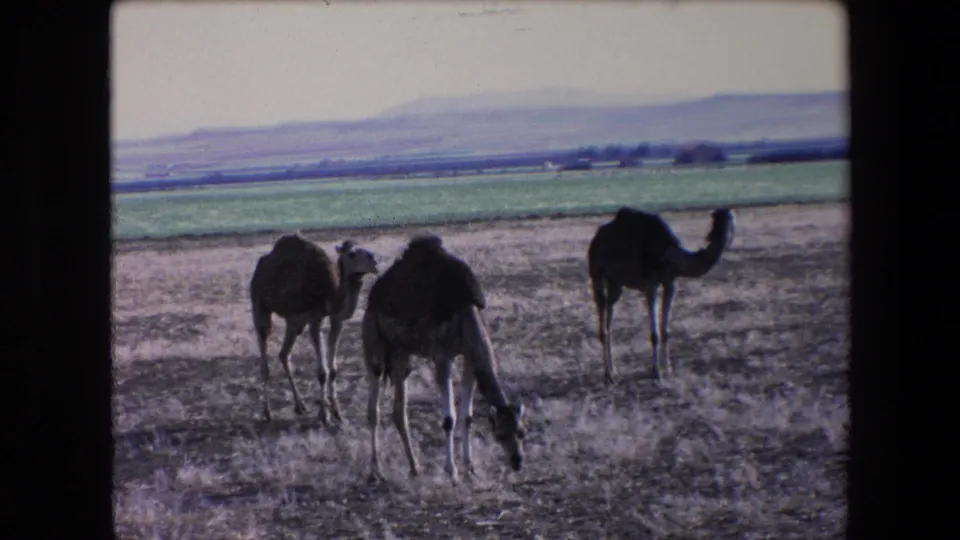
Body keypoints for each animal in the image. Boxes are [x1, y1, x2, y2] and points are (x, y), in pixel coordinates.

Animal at [249, 233, 379, 423]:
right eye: (352, 254)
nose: (374, 261)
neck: (330, 294)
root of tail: (260, 267)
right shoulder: (314, 318)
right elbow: (322, 372)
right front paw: (324, 415)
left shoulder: (336, 320)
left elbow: (333, 370)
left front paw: (337, 412)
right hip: (259, 304)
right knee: (264, 354)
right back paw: (267, 412)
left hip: (294, 320)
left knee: (284, 354)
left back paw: (300, 405)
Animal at [361, 234, 526, 483]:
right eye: (499, 434)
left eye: (522, 431)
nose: (517, 462)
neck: (465, 308)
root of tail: (373, 296)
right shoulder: (442, 356)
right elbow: (449, 418)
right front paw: (452, 472)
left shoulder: (469, 358)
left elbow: (467, 416)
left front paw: (470, 468)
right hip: (374, 341)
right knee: (373, 408)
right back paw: (375, 471)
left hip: (400, 353)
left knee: (399, 409)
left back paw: (415, 467)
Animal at [587, 207, 736, 382]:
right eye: (726, 219)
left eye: (731, 219)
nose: (728, 234)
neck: (669, 255)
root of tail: (596, 238)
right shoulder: (651, 285)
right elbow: (655, 334)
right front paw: (656, 372)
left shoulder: (670, 283)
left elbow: (665, 332)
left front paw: (668, 369)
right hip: (596, 272)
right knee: (602, 305)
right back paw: (608, 373)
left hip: (615, 282)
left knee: (610, 309)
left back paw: (612, 370)